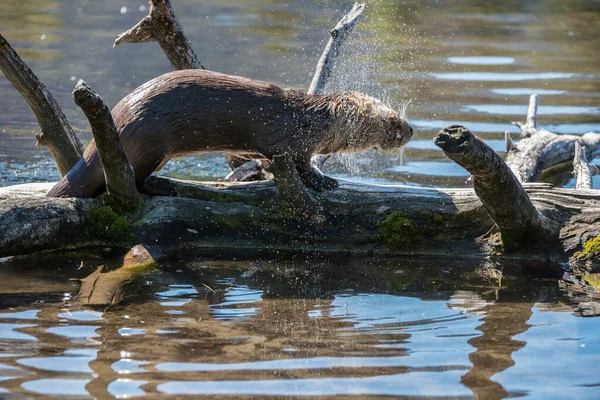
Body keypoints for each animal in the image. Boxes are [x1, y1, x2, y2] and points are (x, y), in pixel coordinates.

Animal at [47, 70, 412, 200]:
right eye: (390, 120)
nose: (410, 129)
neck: (306, 121)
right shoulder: (289, 143)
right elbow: (300, 166)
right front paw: (325, 182)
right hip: (148, 143)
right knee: (130, 181)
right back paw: (162, 186)